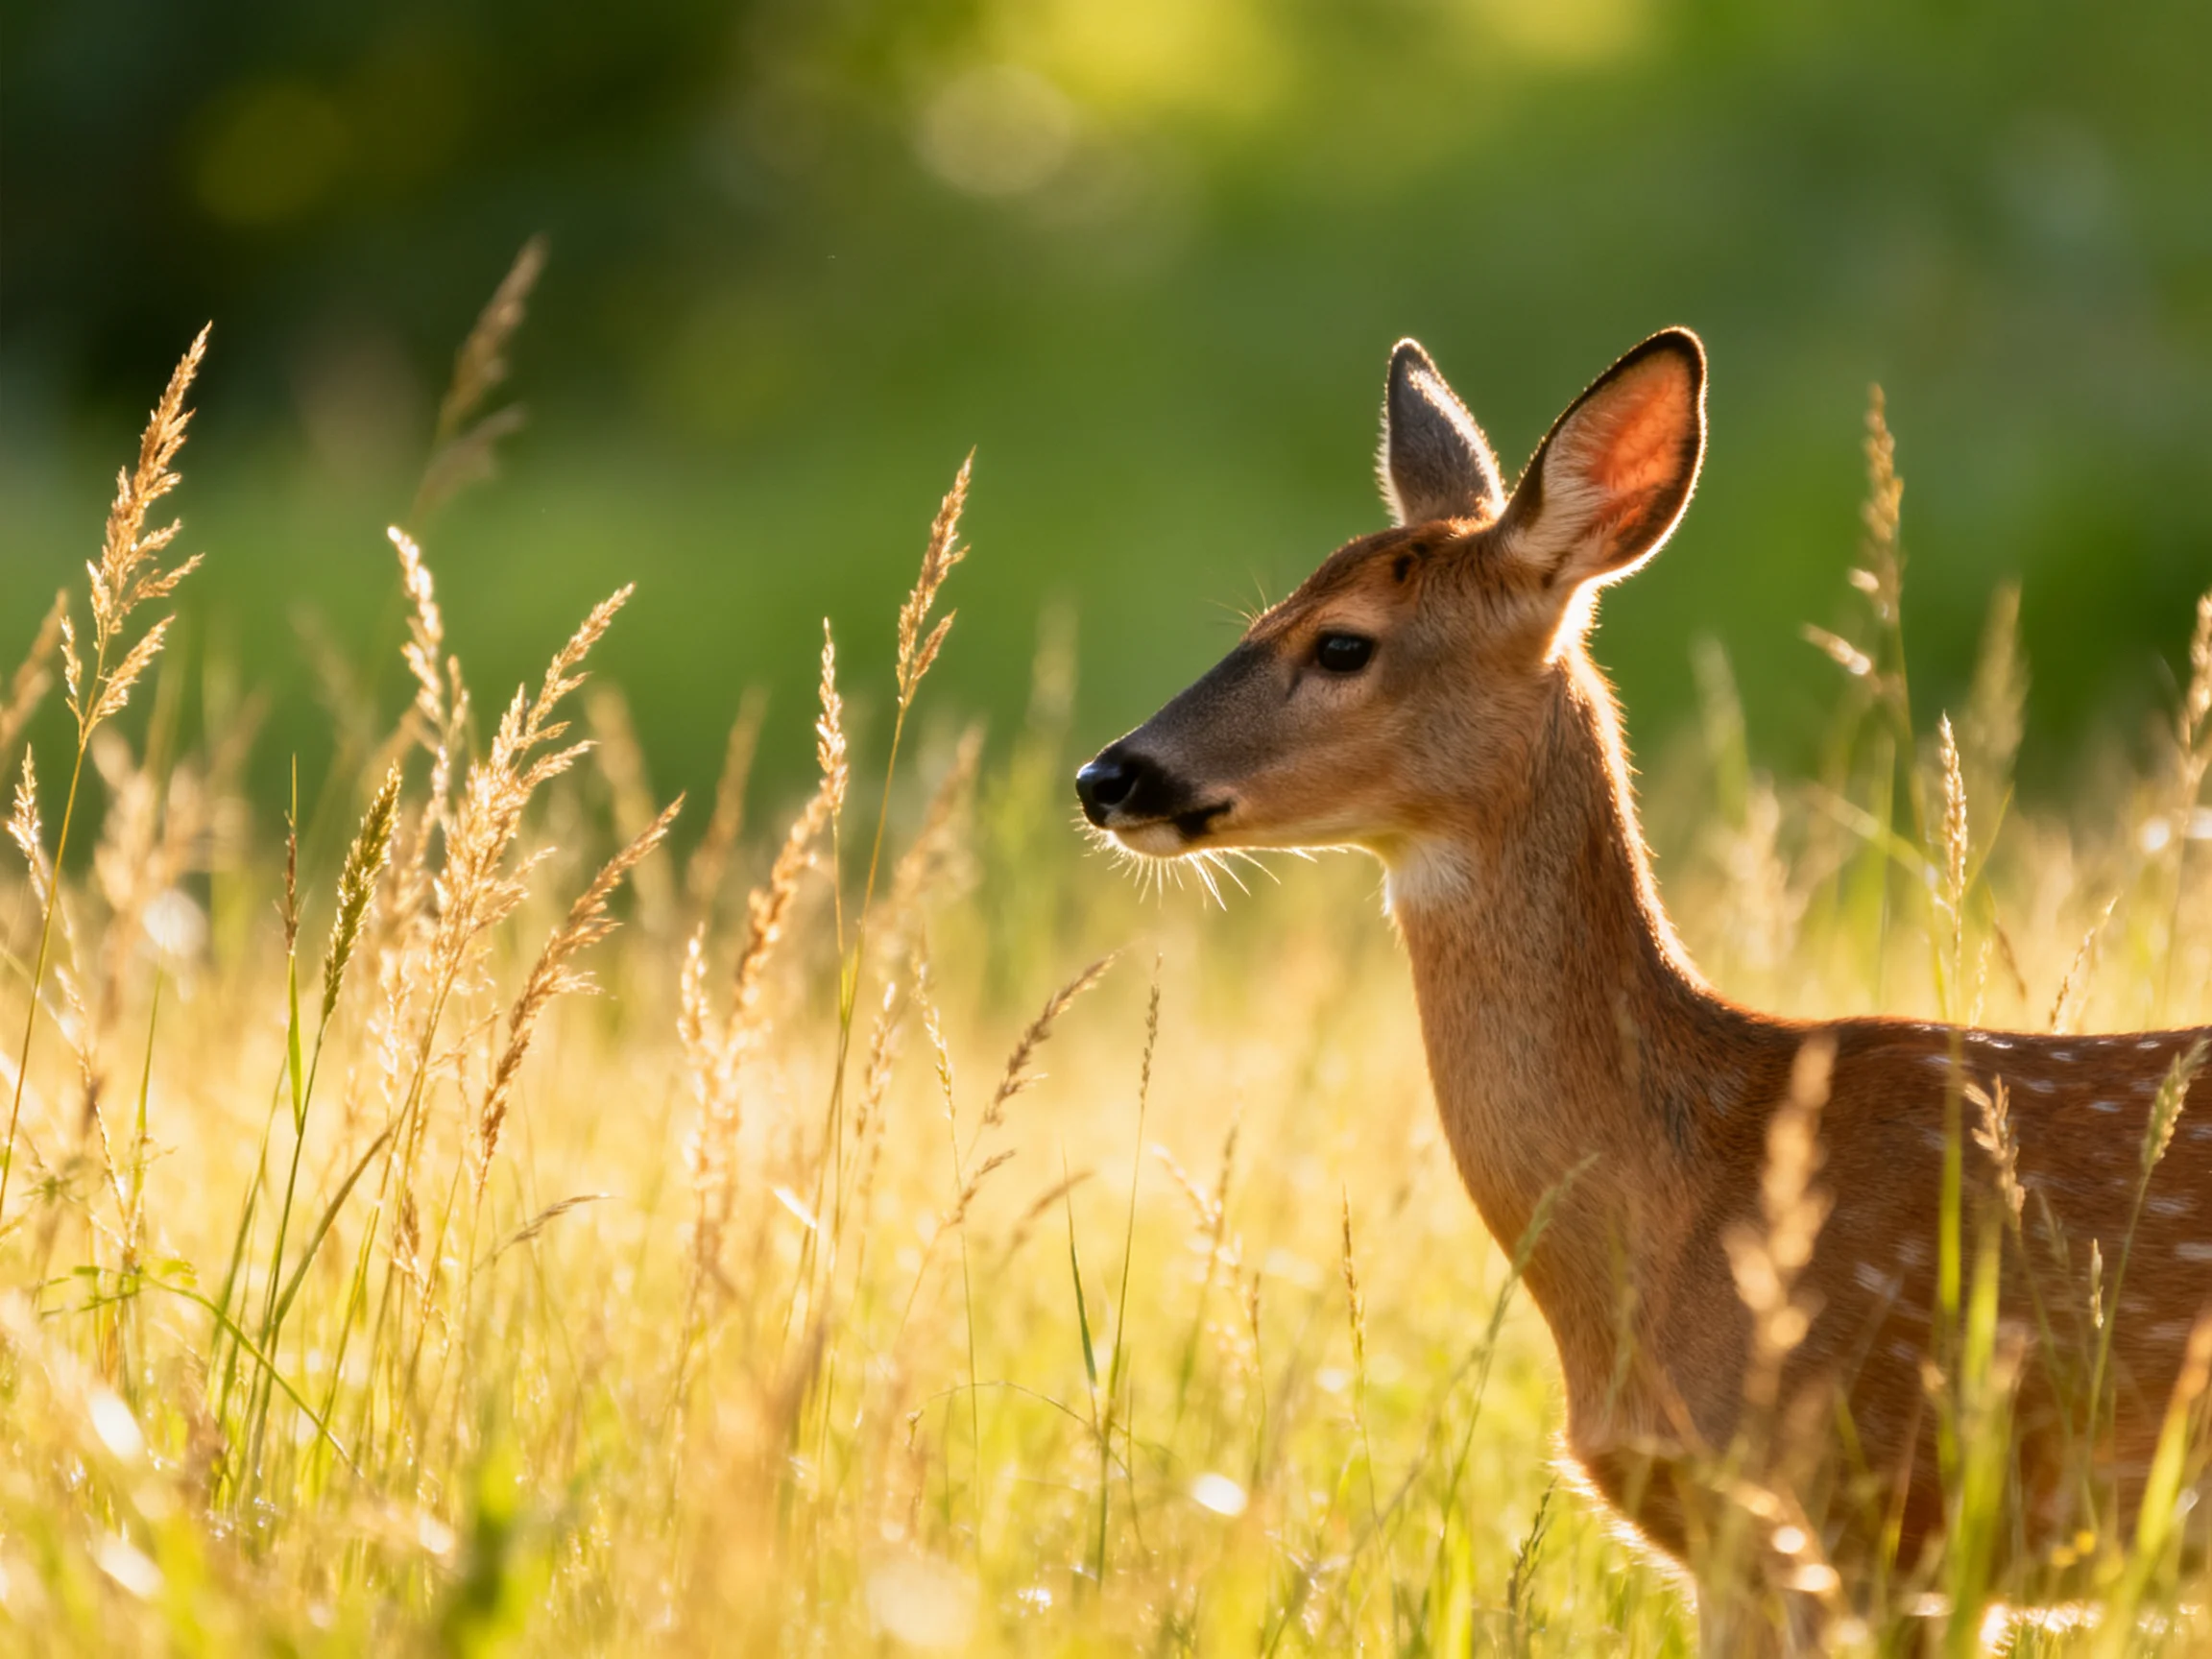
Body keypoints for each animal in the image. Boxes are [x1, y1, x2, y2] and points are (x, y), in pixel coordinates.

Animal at [1074, 328, 2212, 1652]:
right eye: (1263, 616)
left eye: (1343, 643)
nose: (1110, 776)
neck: (1698, 1195)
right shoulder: (1733, 1548)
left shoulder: (1903, 1511)